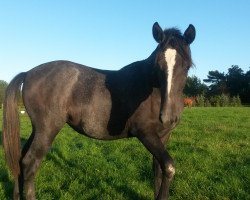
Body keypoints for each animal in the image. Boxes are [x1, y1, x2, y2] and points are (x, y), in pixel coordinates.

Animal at [2, 21, 196, 199]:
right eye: (158, 66)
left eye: (186, 66)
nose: (168, 116)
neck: (151, 88)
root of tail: (28, 73)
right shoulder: (145, 133)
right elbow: (169, 167)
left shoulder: (163, 136)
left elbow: (158, 170)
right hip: (47, 130)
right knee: (29, 164)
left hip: (37, 130)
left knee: (20, 160)